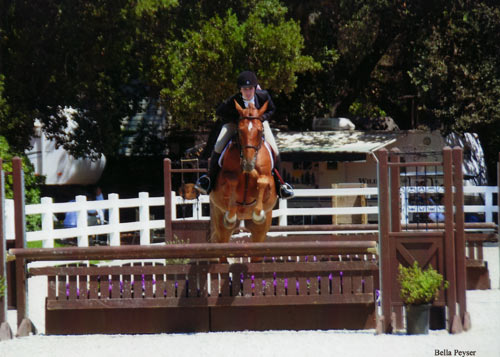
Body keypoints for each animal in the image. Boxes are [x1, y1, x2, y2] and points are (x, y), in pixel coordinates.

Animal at [208, 98, 278, 258]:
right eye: (240, 131)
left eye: (259, 131)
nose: (248, 164)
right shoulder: (224, 181)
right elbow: (232, 181)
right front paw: (231, 216)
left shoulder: (267, 180)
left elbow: (262, 181)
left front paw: (258, 214)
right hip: (219, 220)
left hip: (261, 230)